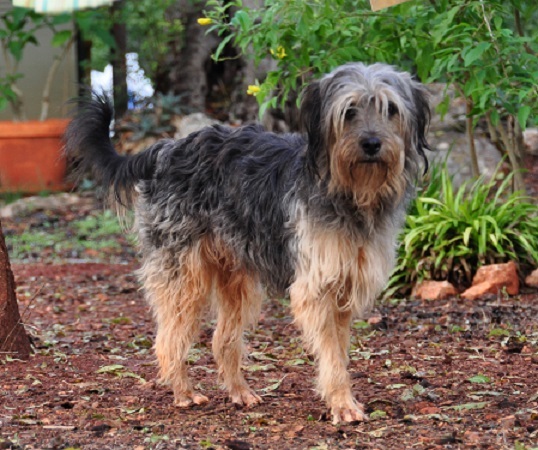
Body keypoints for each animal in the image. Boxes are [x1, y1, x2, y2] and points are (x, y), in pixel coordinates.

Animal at [64, 62, 430, 424]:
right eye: (349, 111)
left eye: (390, 109)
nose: (371, 144)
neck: (349, 192)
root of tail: (165, 150)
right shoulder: (316, 287)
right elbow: (330, 352)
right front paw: (342, 403)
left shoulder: (344, 285)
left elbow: (338, 351)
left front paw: (339, 397)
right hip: (184, 275)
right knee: (168, 340)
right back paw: (183, 392)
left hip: (235, 277)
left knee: (221, 340)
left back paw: (239, 392)